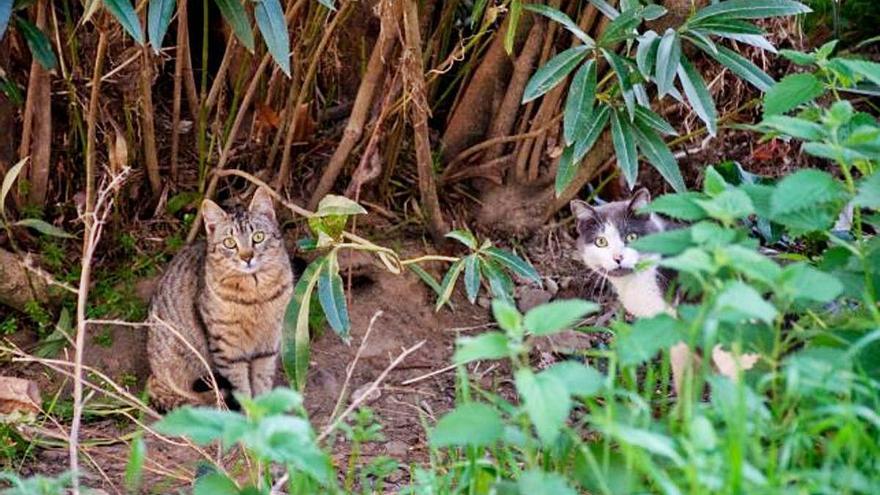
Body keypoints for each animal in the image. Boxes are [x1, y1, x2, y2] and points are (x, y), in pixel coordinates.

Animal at [146, 188, 294, 408]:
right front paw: (248, 413)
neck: (255, 293)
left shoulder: (268, 344)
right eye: (230, 243)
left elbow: (262, 383)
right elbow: (242, 391)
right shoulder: (227, 350)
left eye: (258, 237)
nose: (247, 257)